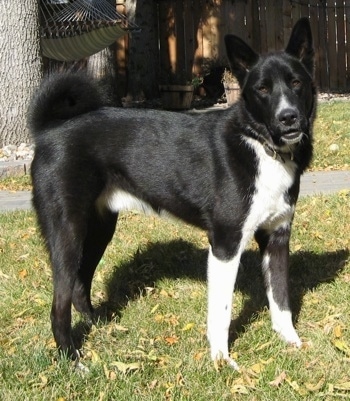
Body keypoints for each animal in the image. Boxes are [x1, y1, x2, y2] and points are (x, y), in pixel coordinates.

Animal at [28, 18, 316, 368]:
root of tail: (49, 130)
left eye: (296, 82)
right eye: (262, 88)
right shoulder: (225, 244)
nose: (288, 117)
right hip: (67, 231)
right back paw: (73, 359)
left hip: (98, 229)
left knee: (80, 285)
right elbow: (221, 312)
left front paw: (291, 343)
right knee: (60, 302)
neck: (262, 147)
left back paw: (100, 327)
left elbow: (281, 298)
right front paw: (221, 361)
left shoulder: (277, 236)